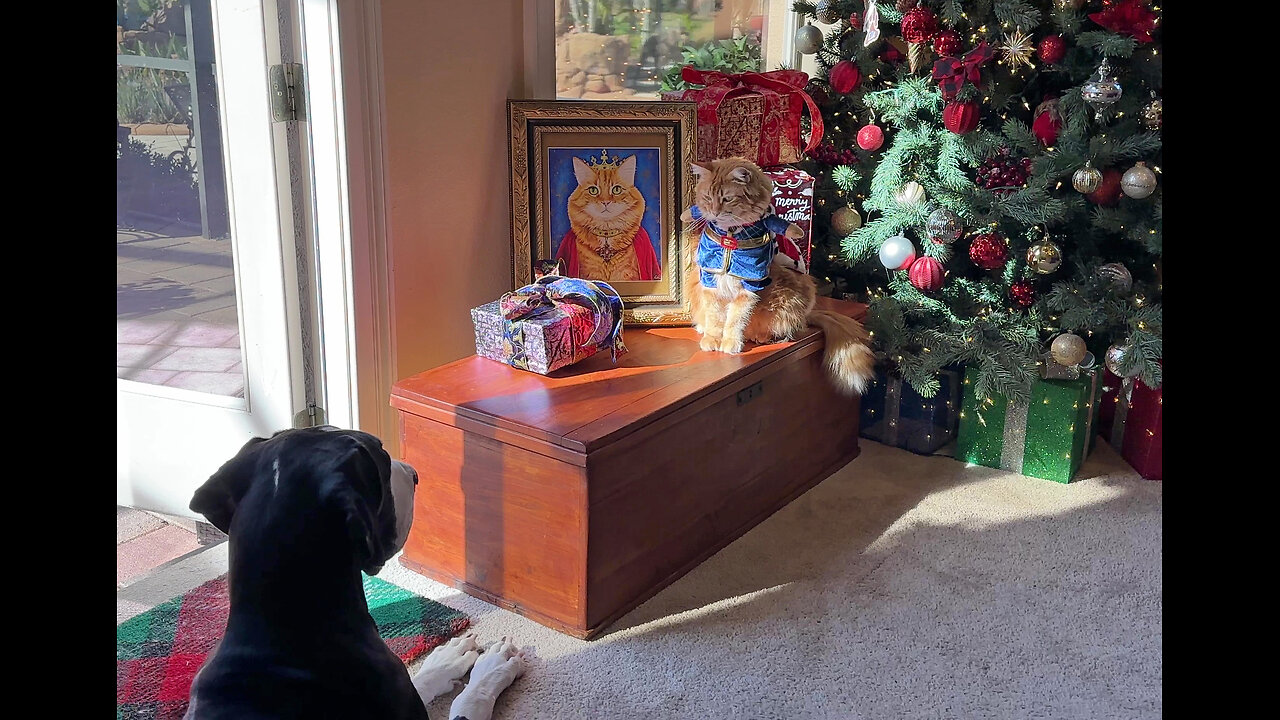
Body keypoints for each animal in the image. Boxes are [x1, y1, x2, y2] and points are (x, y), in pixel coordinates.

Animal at [184, 425, 524, 717]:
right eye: (382, 456)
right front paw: (492, 668)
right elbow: (464, 704)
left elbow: (420, 679)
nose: (414, 474)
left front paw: (444, 660)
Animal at [680, 155, 880, 394]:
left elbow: (735, 318)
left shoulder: (749, 283)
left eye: (727, 199)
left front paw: (730, 341)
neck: (731, 238)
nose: (715, 214)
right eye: (708, 197)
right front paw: (712, 337)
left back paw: (763, 336)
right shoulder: (709, 278)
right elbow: (714, 314)